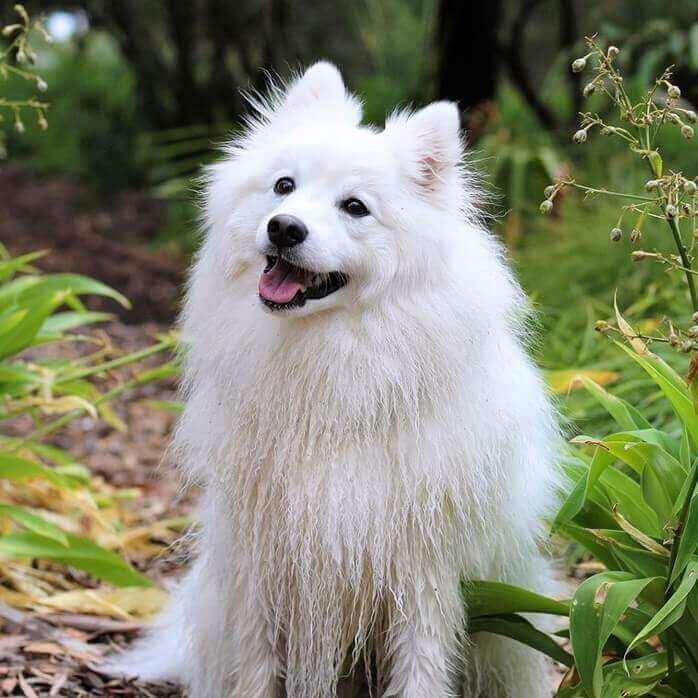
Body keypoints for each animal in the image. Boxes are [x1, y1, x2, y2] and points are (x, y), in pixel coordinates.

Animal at [111, 62, 556, 692]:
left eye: (355, 207)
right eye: (283, 186)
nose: (284, 228)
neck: (328, 361)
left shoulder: (419, 570)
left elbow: (420, 668)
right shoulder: (265, 560)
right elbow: (255, 667)